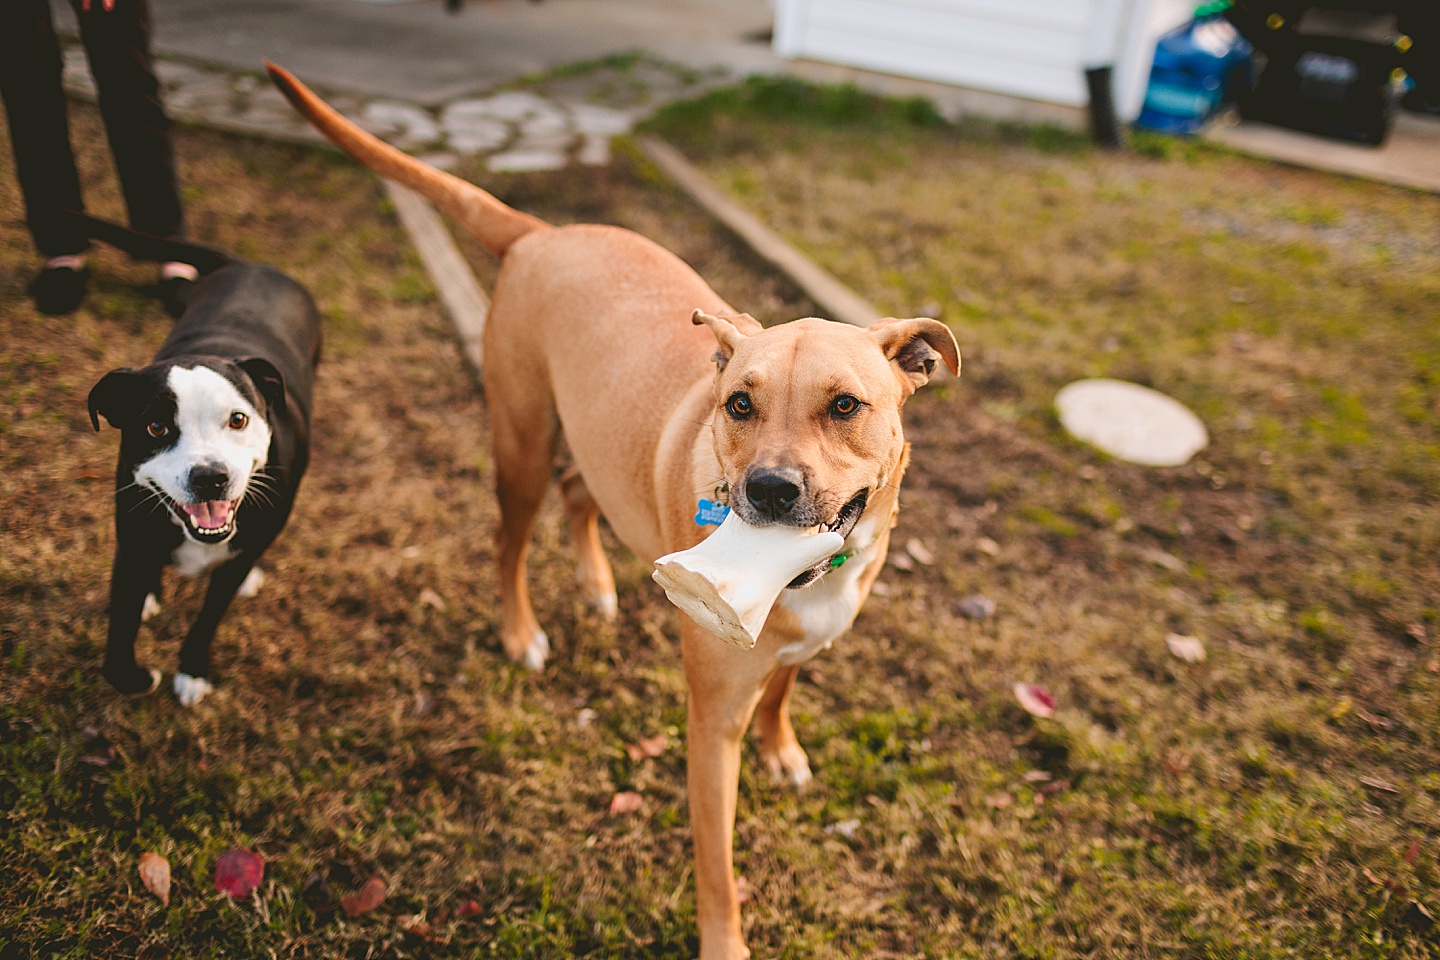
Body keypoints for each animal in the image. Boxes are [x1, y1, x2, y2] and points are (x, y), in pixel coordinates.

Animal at [84, 217, 324, 705]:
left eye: (238, 419)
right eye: (156, 427)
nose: (210, 478)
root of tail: (250, 264)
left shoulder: (231, 567)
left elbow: (209, 618)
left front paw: (192, 670)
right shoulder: (131, 537)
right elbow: (121, 624)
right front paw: (134, 676)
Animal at [269, 63, 956, 955]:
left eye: (845, 405)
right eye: (739, 405)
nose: (770, 490)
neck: (808, 577)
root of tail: (539, 233)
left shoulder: (807, 644)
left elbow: (783, 688)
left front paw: (783, 749)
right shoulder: (710, 725)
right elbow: (717, 865)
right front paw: (724, 942)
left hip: (588, 436)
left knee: (577, 495)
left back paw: (598, 585)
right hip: (522, 442)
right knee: (509, 539)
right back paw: (521, 631)